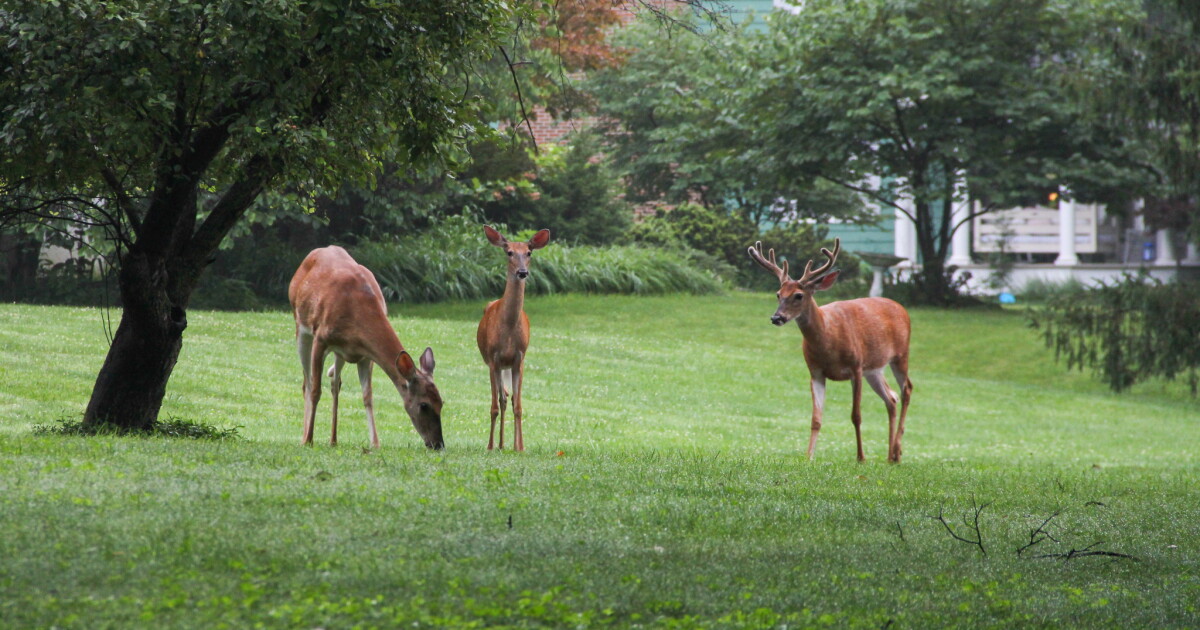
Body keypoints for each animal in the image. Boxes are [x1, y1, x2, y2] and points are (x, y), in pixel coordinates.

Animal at [288, 246, 444, 450]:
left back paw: (333, 440)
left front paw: (375, 443)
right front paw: (308, 439)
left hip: (339, 352)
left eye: (441, 402)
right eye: (424, 405)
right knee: (307, 382)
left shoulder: (366, 355)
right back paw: (305, 437)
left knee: (335, 384)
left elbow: (367, 395)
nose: (438, 444)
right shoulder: (320, 339)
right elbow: (315, 390)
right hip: (302, 328)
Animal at [476, 225, 551, 451]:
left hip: (509, 366)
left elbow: (518, 406)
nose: (522, 272)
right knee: (502, 399)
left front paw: (520, 447)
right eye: (509, 252)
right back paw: (499, 445)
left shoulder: (519, 358)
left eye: (529, 252)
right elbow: (494, 405)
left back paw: (508, 444)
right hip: (498, 365)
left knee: (508, 398)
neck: (508, 329)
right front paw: (490, 446)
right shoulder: (493, 359)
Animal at [748, 238, 913, 463]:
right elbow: (816, 418)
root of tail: (901, 308)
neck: (828, 341)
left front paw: (861, 457)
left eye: (798, 295)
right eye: (778, 294)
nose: (776, 317)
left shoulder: (856, 367)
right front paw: (808, 456)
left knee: (906, 390)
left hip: (900, 355)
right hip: (874, 369)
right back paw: (891, 456)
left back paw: (896, 450)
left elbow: (856, 415)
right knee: (892, 397)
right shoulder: (816, 372)